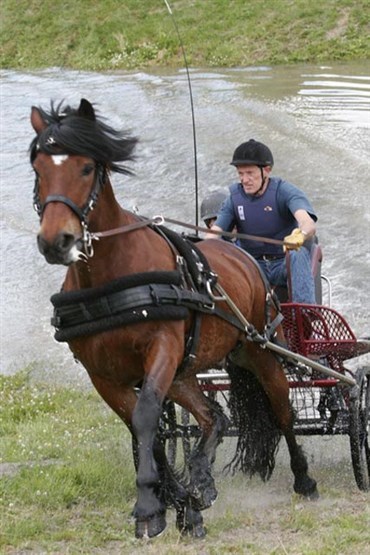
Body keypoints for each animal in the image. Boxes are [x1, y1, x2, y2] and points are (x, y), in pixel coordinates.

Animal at [29, 99, 318, 540]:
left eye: (86, 167)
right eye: (38, 167)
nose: (55, 241)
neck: (113, 277)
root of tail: (244, 255)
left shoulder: (161, 350)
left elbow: (146, 417)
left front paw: (151, 505)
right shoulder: (104, 374)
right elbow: (142, 429)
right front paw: (181, 503)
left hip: (259, 349)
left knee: (282, 411)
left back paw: (303, 478)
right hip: (186, 372)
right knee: (213, 417)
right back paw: (201, 479)